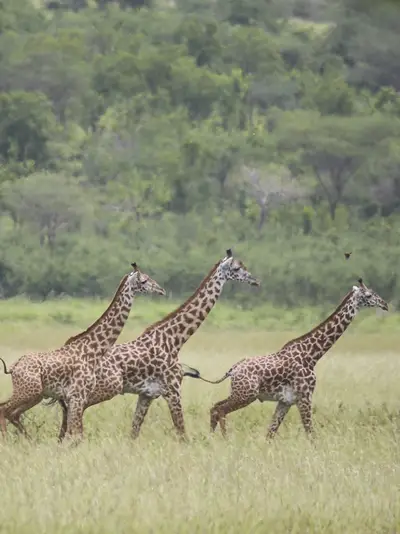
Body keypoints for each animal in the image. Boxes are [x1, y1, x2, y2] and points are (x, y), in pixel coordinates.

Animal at [0, 264, 166, 444]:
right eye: (144, 280)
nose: (161, 290)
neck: (93, 351)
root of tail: (14, 367)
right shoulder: (77, 396)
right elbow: (77, 434)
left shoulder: (78, 398)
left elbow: (75, 434)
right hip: (29, 391)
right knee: (4, 409)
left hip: (35, 395)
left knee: (11, 413)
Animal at [51, 249, 260, 442]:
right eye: (237, 268)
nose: (255, 281)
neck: (174, 339)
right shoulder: (173, 390)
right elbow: (182, 434)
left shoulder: (147, 394)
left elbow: (134, 432)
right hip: (98, 391)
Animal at [199, 280, 388, 440]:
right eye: (369, 295)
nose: (385, 304)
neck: (312, 355)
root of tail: (233, 370)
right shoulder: (304, 397)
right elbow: (311, 434)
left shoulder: (286, 401)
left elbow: (270, 433)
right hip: (246, 394)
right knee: (220, 409)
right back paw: (224, 439)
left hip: (240, 393)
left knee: (215, 407)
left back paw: (212, 438)